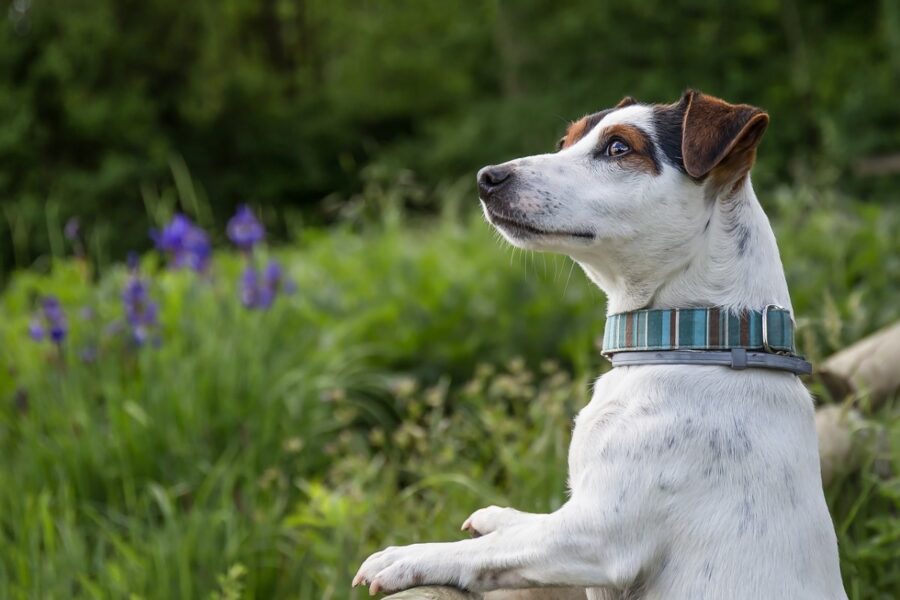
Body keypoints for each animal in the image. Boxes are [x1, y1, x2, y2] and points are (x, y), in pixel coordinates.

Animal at [354, 90, 852, 600]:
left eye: (618, 148)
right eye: (564, 142)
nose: (487, 177)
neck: (695, 343)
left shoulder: (598, 537)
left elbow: (486, 553)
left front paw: (407, 556)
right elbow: (528, 526)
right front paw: (503, 516)